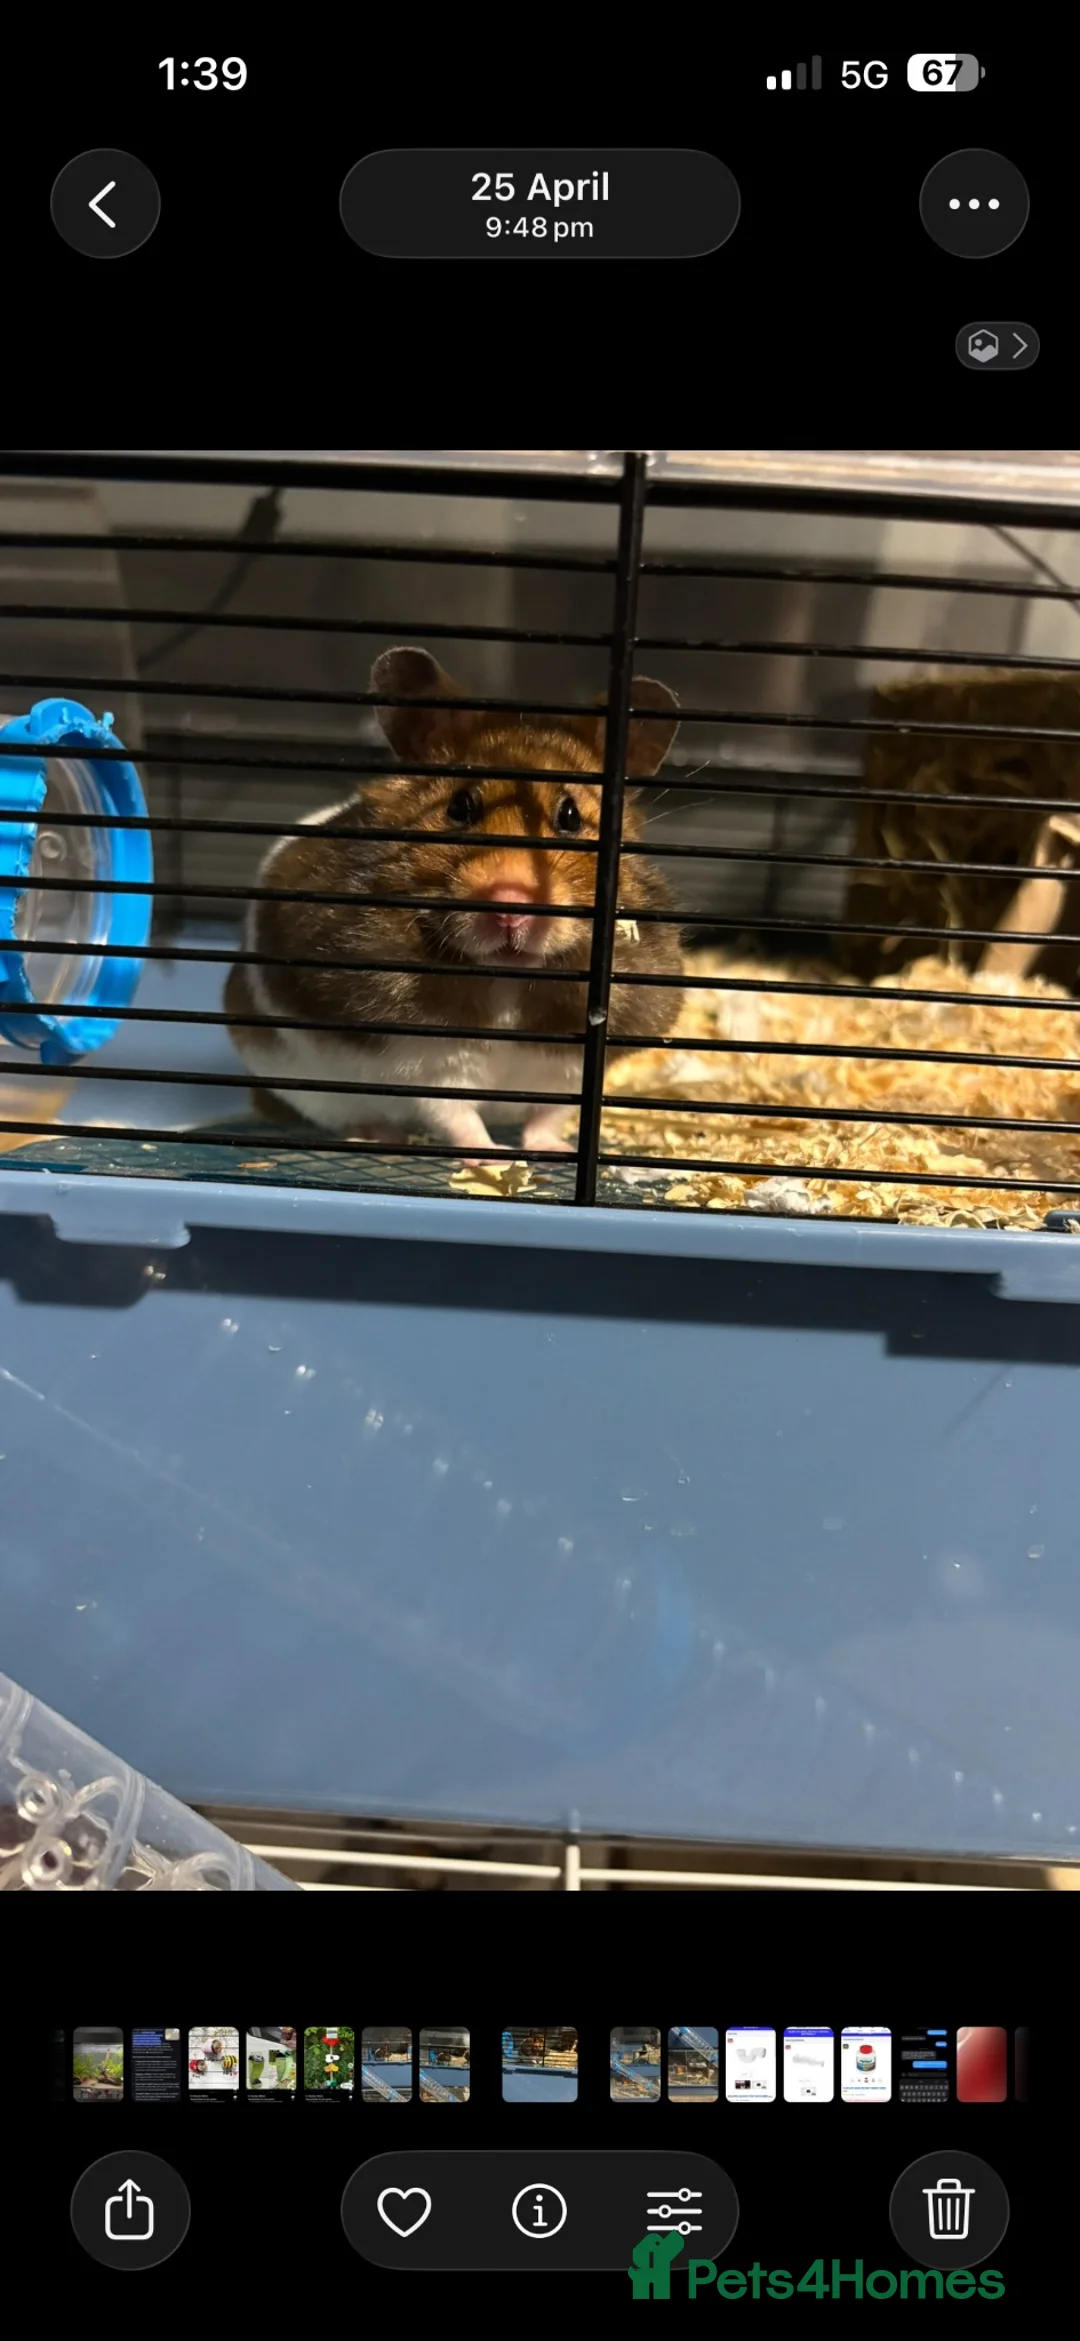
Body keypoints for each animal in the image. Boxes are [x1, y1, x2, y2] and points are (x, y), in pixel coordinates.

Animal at [225, 646, 685, 1156]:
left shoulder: (571, 1068)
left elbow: (550, 1116)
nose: (510, 906)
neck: (507, 984)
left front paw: (555, 1151)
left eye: (569, 816)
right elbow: (456, 1117)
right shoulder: (430, 1062)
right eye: (460, 808)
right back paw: (378, 1135)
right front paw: (491, 1158)